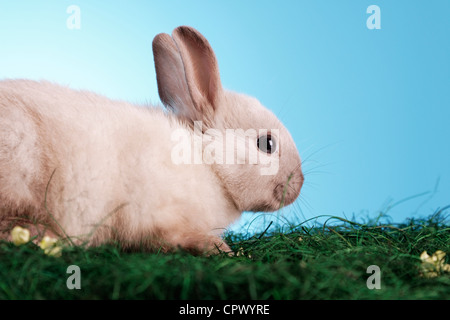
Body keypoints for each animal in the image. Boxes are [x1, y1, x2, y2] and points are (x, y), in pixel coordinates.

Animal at [0, 26, 304, 254]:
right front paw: (223, 250)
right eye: (266, 144)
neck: (209, 166)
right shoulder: (161, 219)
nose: (299, 183)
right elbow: (177, 238)